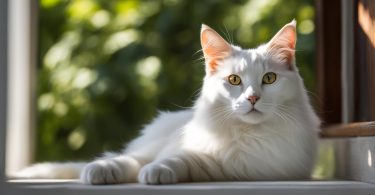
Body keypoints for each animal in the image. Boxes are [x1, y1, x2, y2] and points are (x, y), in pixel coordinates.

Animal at [15, 21, 320, 184]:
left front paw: (155, 173)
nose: (253, 98)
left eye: (269, 78)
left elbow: (180, 162)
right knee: (130, 155)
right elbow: (150, 159)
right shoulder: (187, 148)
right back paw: (101, 168)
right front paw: (110, 170)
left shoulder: (234, 167)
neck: (248, 135)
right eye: (234, 80)